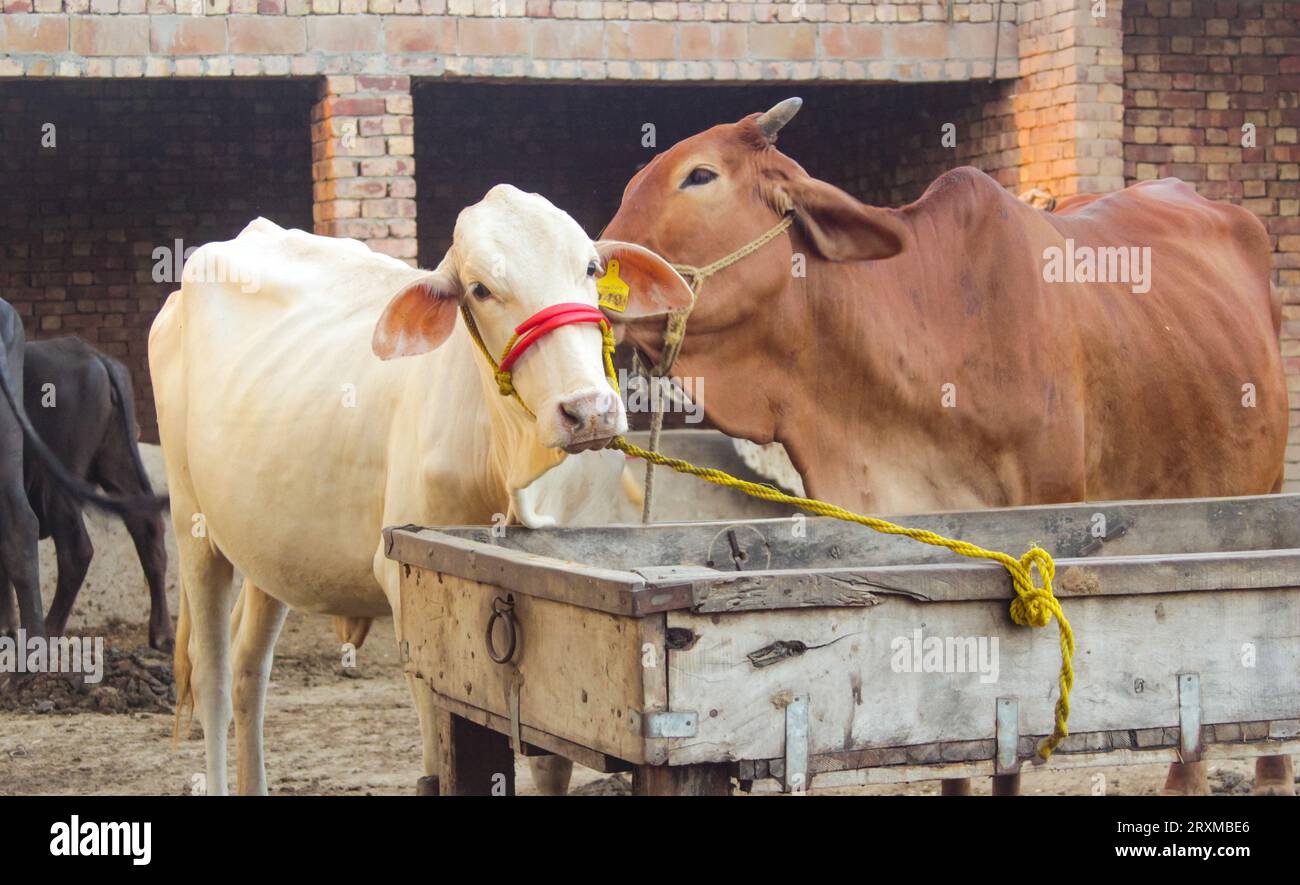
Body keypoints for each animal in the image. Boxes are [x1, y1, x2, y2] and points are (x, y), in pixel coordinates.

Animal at [0, 300, 170, 652]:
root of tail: (96, 359)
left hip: (57, 483)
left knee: (74, 549)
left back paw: (49, 630)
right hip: (117, 460)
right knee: (146, 524)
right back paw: (161, 634)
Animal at [154, 185, 691, 795]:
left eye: (591, 269)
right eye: (480, 289)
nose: (588, 411)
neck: (510, 467)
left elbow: (551, 759)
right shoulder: (412, 588)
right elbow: (439, 755)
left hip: (268, 544)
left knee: (248, 669)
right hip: (193, 526)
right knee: (213, 679)